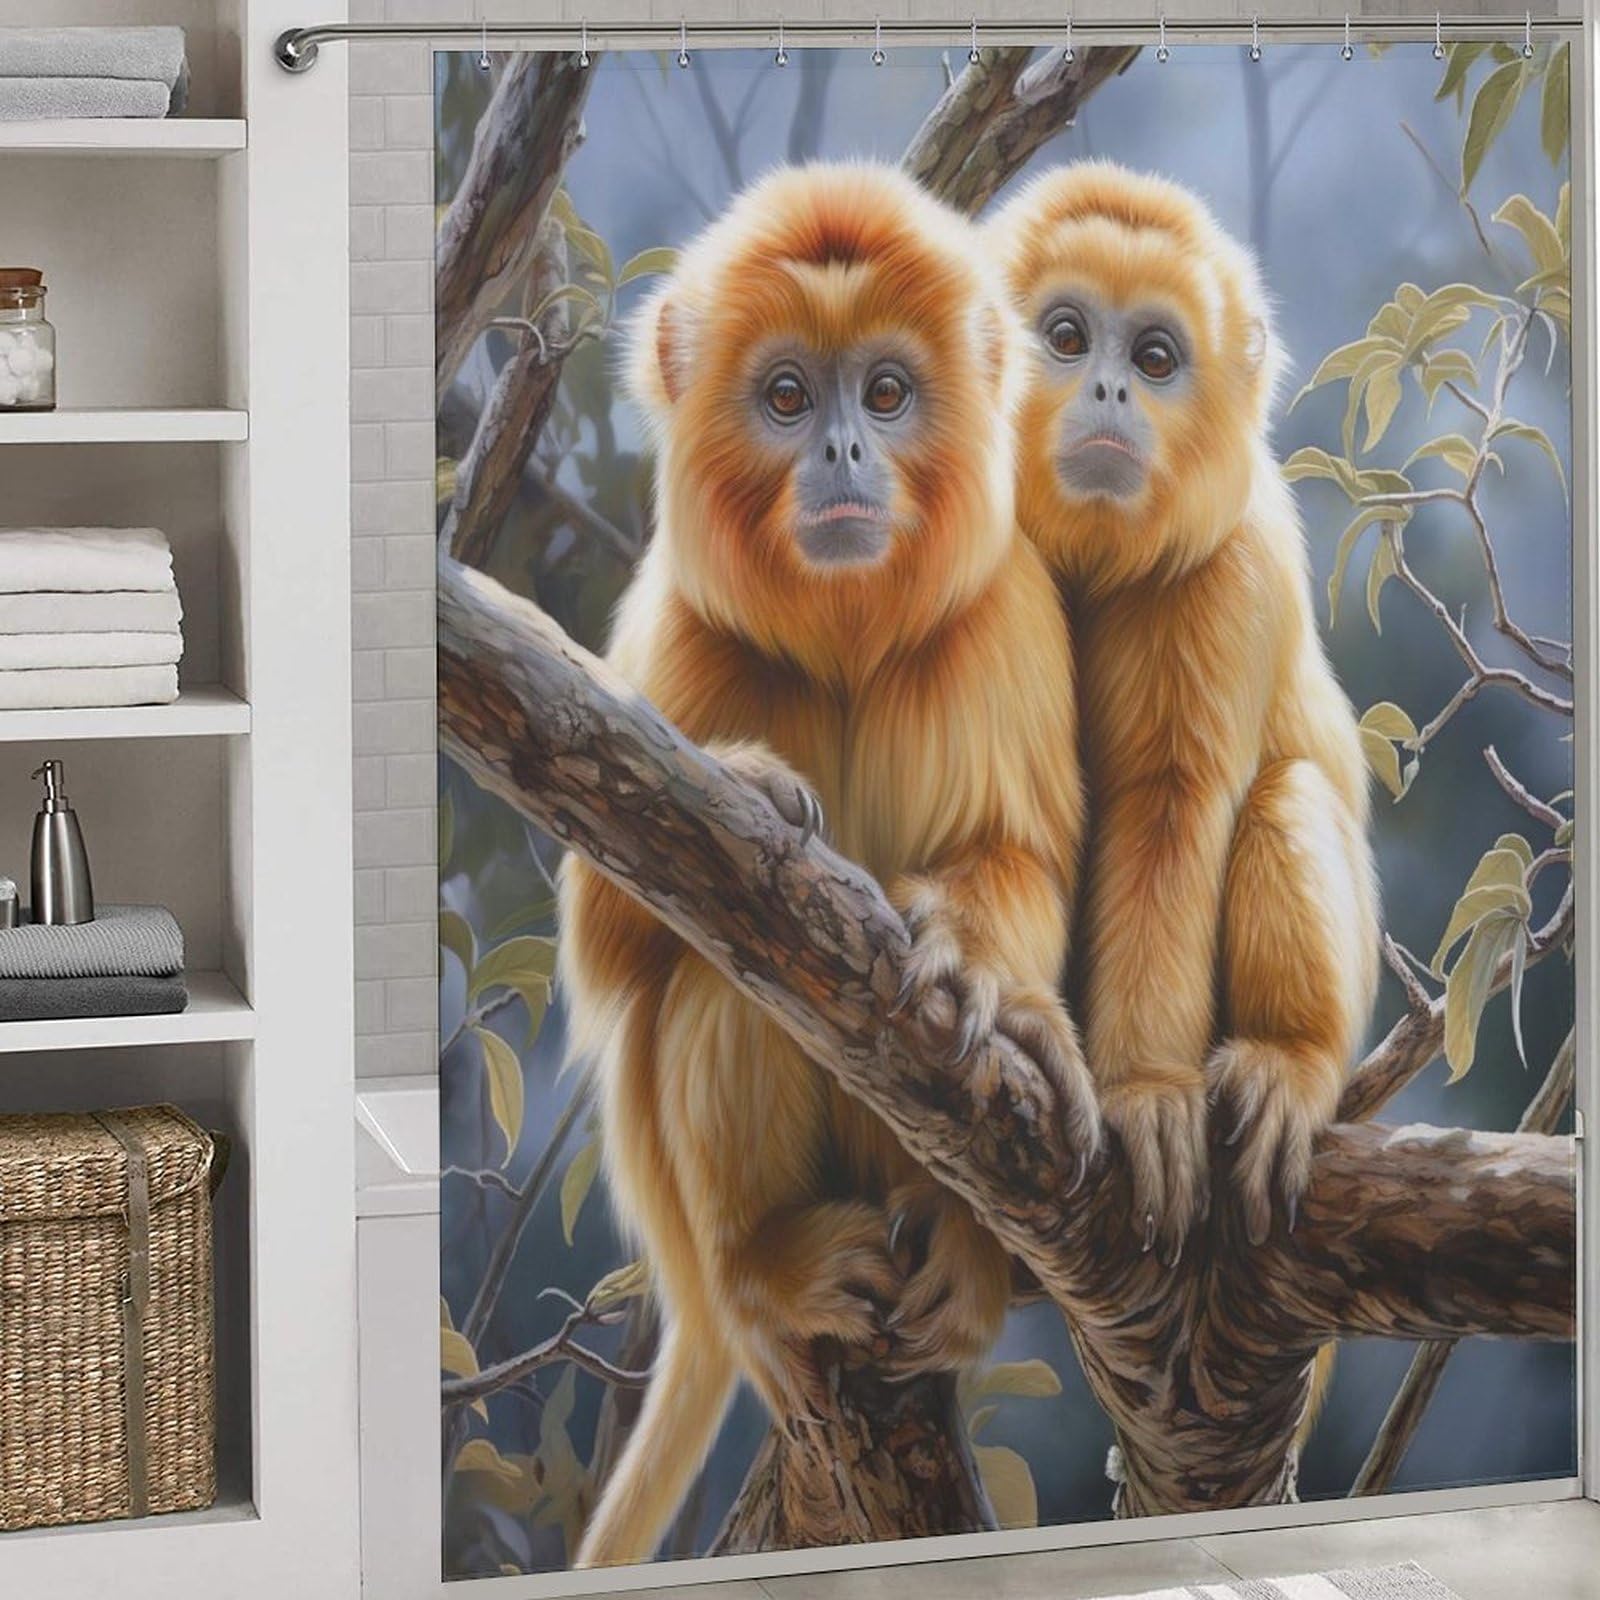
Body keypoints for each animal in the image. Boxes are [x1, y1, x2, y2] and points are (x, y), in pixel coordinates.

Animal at [558, 162, 1102, 1569]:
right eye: (790, 397)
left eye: (889, 394)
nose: (845, 452)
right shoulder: (676, 630)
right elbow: (615, 932)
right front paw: (748, 786)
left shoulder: (1004, 609)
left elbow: (1015, 859)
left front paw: (983, 974)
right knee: (727, 976)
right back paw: (772, 1265)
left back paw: (965, 1246)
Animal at [985, 162, 1379, 1262]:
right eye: (1066, 338)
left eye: (1155, 359)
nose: (1111, 391)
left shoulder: (1225, 566)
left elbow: (1169, 806)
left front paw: (1146, 1089)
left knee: (1286, 796)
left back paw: (1291, 1059)